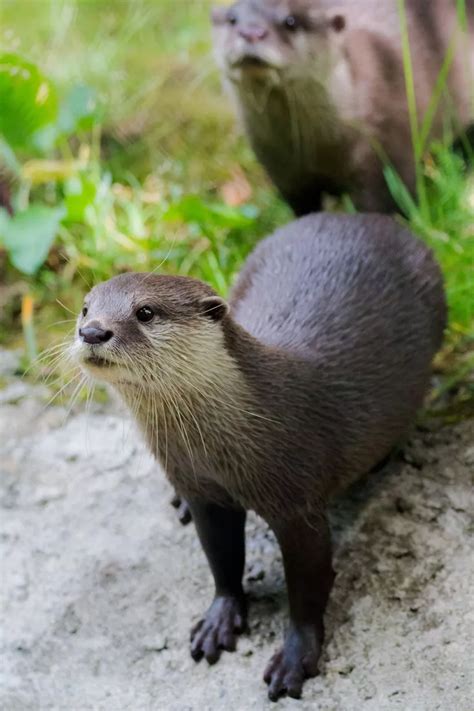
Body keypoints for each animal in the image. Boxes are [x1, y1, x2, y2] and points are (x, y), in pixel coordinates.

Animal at [72, 214, 446, 704]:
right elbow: (221, 559)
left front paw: (295, 657)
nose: (93, 331)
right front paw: (219, 618)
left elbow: (308, 584)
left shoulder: (297, 502)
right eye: (85, 308)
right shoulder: (204, 491)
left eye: (146, 312)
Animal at [212, 0, 474, 214]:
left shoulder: (388, 152)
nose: (251, 32)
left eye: (290, 21)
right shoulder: (283, 172)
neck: (314, 150)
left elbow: (390, 203)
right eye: (232, 19)